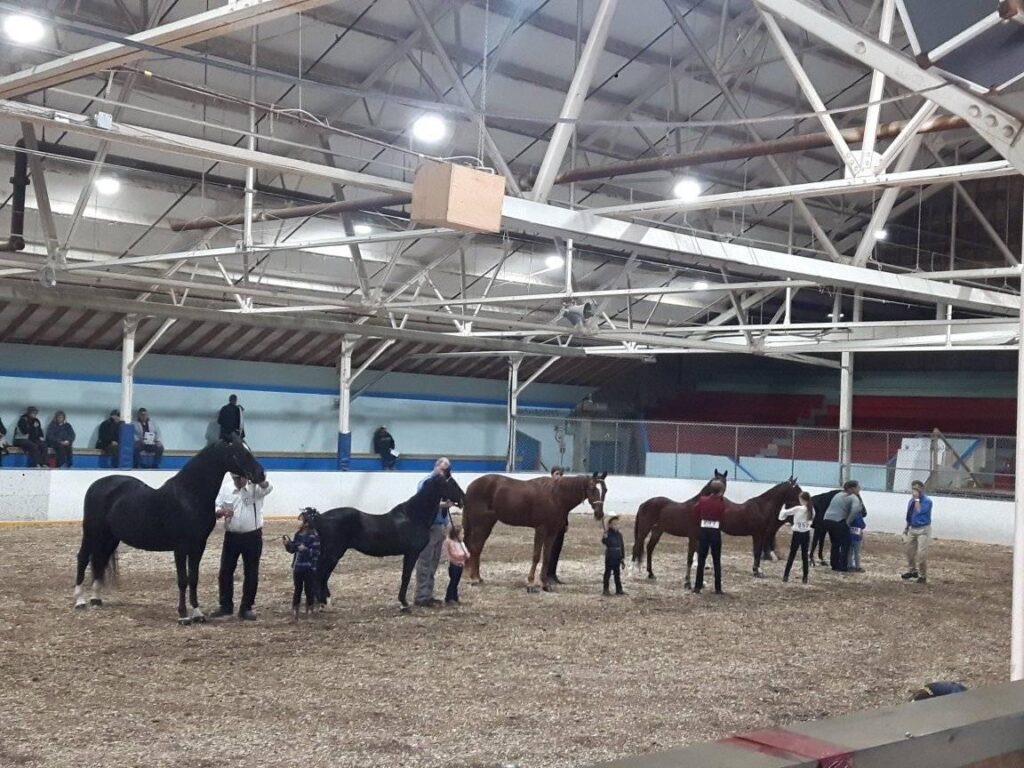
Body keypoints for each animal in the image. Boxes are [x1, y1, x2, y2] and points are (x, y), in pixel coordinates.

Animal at [73, 434, 266, 626]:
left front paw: (197, 614)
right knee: (83, 557)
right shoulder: (180, 547)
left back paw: (96, 599)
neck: (189, 496)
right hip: (92, 532)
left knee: (100, 560)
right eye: (238, 452)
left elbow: (193, 578)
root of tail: (97, 485)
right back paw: (80, 600)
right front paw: (183, 616)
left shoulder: (198, 546)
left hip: (110, 537)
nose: (261, 474)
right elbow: (182, 580)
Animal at [315, 473, 468, 610]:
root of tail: (321, 518)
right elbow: (406, 576)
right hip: (333, 553)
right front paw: (404, 603)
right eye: (452, 483)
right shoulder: (411, 553)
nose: (464, 498)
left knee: (323, 575)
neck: (414, 516)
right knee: (321, 574)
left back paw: (324, 602)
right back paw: (321, 603)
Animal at [464, 473, 606, 593]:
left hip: (486, 524)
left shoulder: (552, 532)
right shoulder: (541, 529)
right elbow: (536, 556)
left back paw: (478, 578)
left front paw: (545, 584)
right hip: (481, 525)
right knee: (475, 548)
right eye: (592, 488)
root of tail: (471, 486)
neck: (555, 496)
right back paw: (473, 579)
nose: (599, 514)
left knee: (477, 549)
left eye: (604, 490)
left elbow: (547, 557)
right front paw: (531, 583)